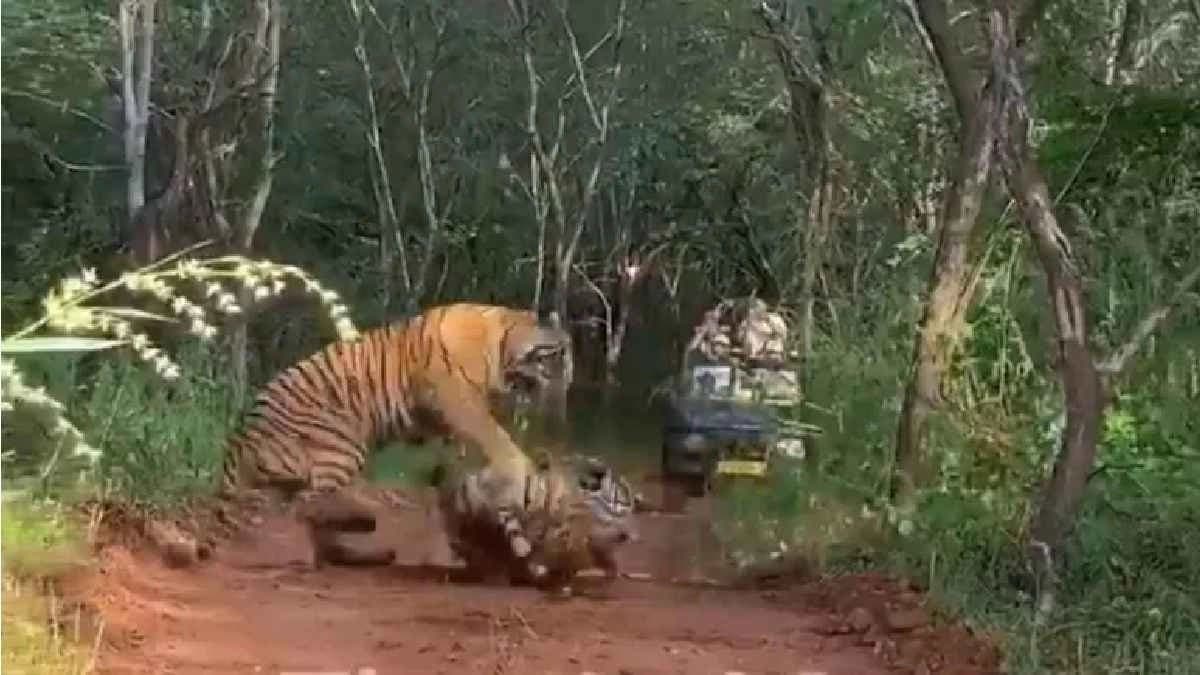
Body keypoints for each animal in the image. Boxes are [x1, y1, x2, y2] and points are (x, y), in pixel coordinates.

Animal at [215, 302, 572, 568]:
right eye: (558, 354)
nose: (568, 384)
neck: (503, 346)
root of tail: (242, 438)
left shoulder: (444, 423)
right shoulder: (457, 400)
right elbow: (496, 437)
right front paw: (517, 472)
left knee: (310, 511)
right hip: (343, 445)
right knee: (310, 505)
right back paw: (363, 519)